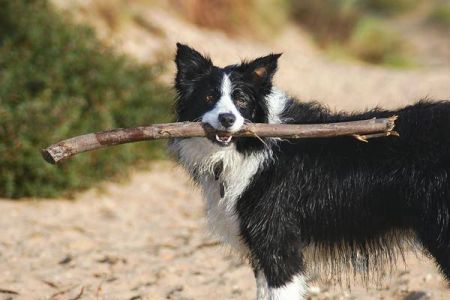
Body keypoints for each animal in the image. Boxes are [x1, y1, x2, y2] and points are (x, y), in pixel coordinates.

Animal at [169, 42, 450, 300]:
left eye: (241, 100)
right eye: (208, 97)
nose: (227, 119)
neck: (252, 147)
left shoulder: (277, 242)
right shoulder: (259, 250)